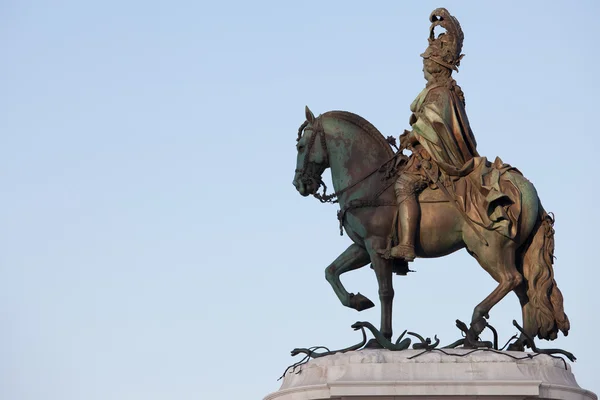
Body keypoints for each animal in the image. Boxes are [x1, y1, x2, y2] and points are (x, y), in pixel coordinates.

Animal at [292, 106, 568, 350]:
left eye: (301, 146)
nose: (299, 184)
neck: (371, 182)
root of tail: (525, 188)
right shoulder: (362, 247)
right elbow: (331, 271)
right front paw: (357, 301)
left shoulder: (377, 245)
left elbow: (385, 292)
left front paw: (384, 338)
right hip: (512, 252)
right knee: (525, 290)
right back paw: (520, 342)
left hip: (489, 250)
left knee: (512, 280)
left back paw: (476, 324)